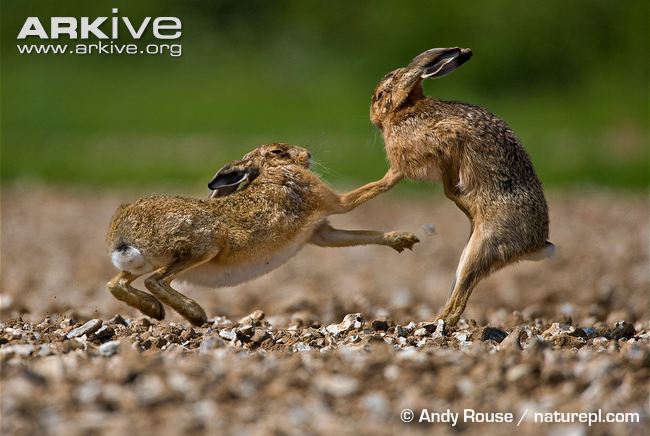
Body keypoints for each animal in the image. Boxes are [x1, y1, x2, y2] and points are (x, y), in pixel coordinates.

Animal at [106, 143, 419, 326]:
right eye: (278, 151)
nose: (308, 154)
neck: (269, 171)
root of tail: (123, 235)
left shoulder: (320, 234)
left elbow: (361, 234)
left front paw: (403, 239)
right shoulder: (330, 200)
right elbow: (362, 193)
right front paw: (398, 171)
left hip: (142, 263)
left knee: (116, 283)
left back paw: (153, 311)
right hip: (204, 245)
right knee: (157, 281)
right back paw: (195, 315)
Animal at [370, 47, 554, 326]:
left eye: (379, 95)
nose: (371, 118)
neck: (406, 111)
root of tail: (537, 245)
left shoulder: (447, 141)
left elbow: (448, 181)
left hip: (485, 243)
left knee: (461, 297)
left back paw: (435, 323)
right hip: (471, 248)